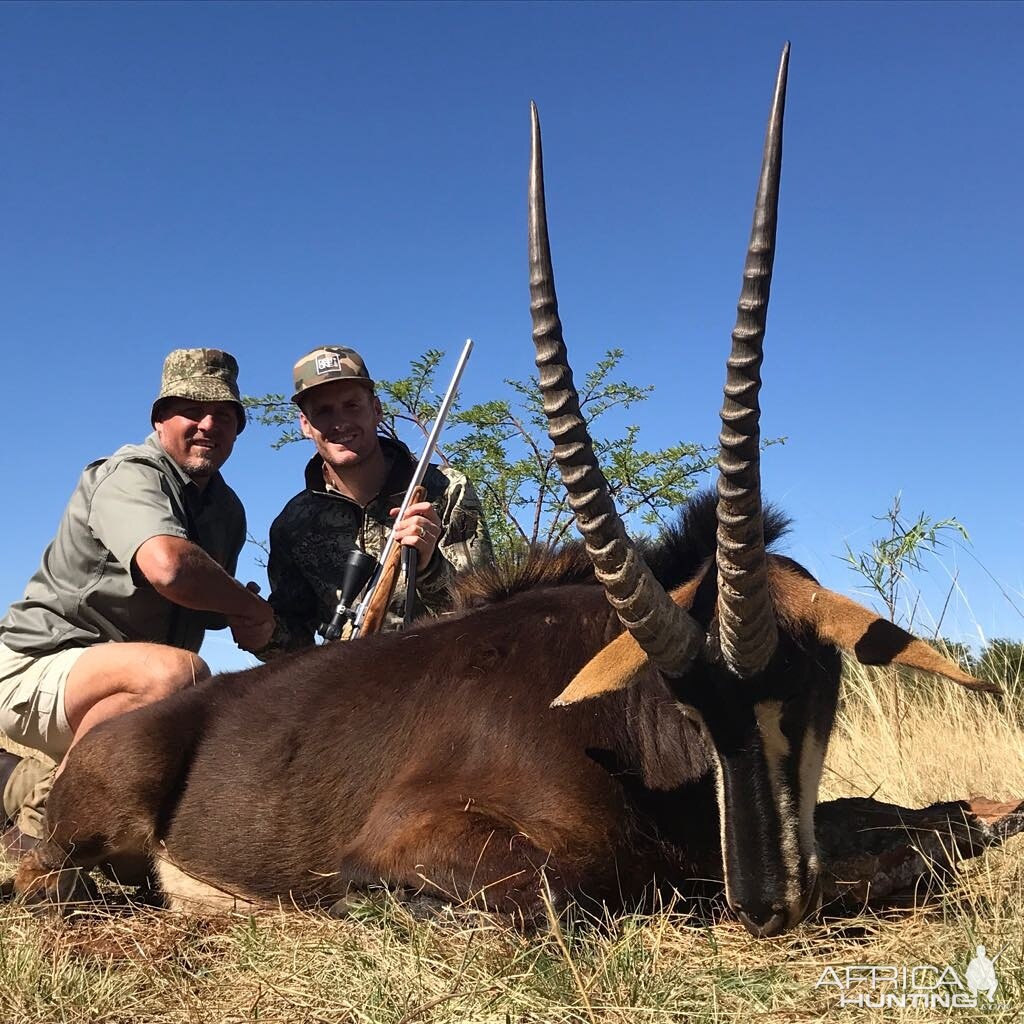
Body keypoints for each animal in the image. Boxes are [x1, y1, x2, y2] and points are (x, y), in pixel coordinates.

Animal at [9, 48, 991, 937]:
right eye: (689, 707)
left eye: (808, 681)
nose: (767, 902)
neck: (623, 735)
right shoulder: (422, 846)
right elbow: (574, 897)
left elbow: (916, 834)